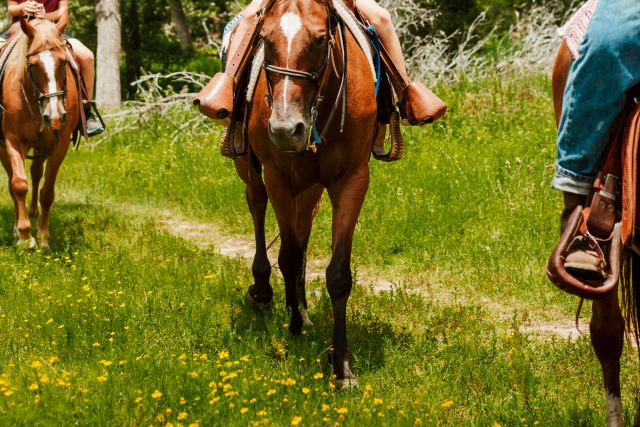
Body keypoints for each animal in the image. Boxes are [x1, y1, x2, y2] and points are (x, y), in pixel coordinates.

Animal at [0, 16, 80, 247]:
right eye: (33, 65)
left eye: (63, 62)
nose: (55, 116)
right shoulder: (12, 141)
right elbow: (18, 185)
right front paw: (25, 236)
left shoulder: (59, 146)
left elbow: (47, 192)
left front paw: (43, 237)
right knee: (14, 182)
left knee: (36, 174)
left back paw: (34, 218)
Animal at [232, 0, 382, 388]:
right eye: (265, 39)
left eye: (318, 40)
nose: (286, 130)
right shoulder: (278, 177)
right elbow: (286, 255)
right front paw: (295, 327)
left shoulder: (352, 181)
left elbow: (337, 274)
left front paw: (342, 366)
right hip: (250, 169)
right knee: (257, 208)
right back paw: (266, 290)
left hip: (310, 188)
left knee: (302, 231)